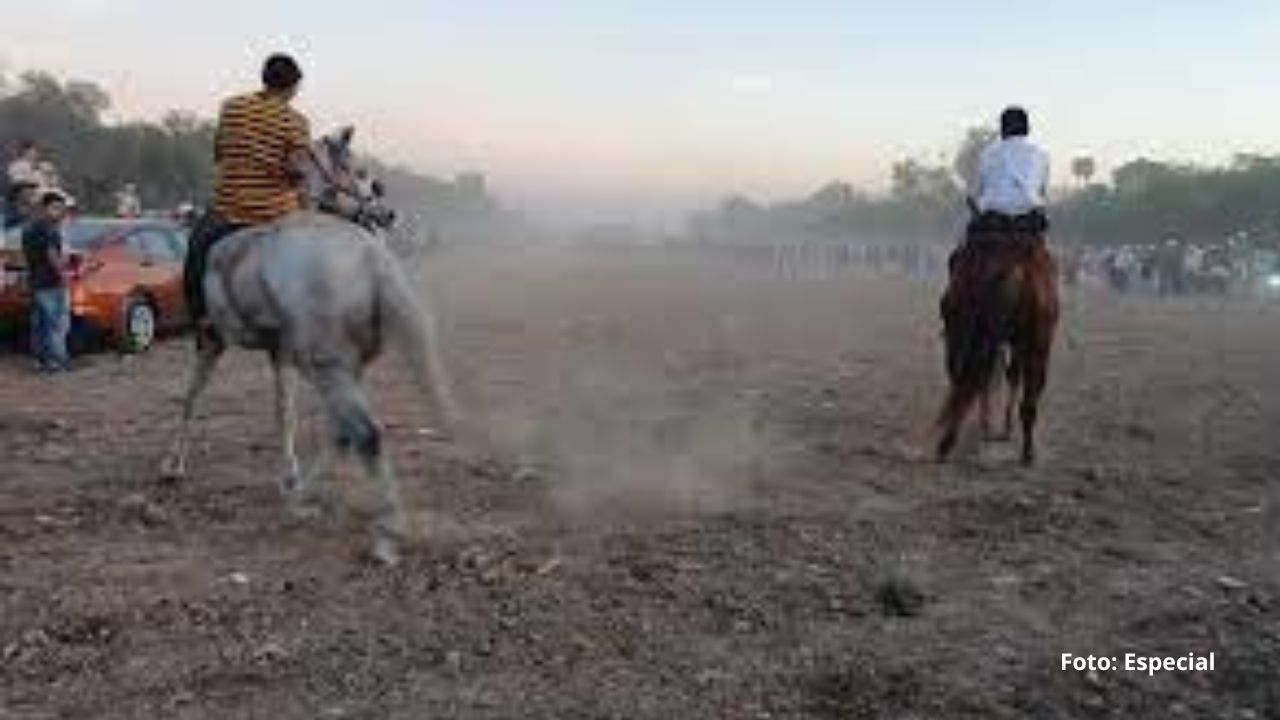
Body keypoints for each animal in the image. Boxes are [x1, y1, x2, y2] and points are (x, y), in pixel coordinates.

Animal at [160, 127, 459, 565]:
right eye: (357, 169)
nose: (387, 214)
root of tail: (372, 260)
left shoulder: (213, 340)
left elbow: (193, 397)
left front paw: (172, 465)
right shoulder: (280, 352)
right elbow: (282, 412)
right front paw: (288, 476)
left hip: (325, 364)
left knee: (364, 433)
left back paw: (383, 534)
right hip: (341, 364)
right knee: (345, 433)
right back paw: (305, 497)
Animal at [935, 222, 1059, 466]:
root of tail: (1014, 270)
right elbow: (1009, 375)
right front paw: (1001, 428)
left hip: (970, 333)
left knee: (966, 378)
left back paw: (946, 444)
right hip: (1037, 339)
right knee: (1029, 391)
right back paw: (1027, 451)